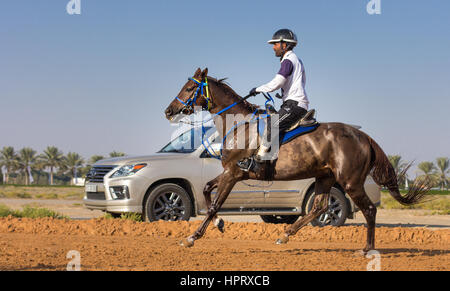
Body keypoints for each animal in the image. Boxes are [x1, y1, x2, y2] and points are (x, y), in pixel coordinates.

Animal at [163, 68, 430, 253]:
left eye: (189, 88)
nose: (169, 111)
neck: (239, 125)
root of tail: (364, 137)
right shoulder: (231, 172)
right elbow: (207, 191)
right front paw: (219, 224)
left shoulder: (234, 174)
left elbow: (214, 204)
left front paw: (192, 237)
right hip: (325, 177)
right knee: (320, 207)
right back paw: (285, 234)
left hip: (350, 182)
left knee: (369, 210)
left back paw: (368, 249)